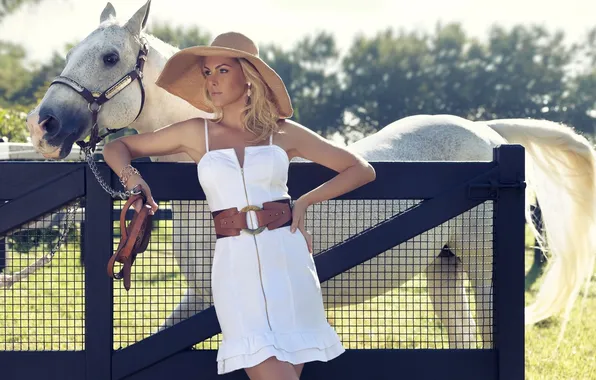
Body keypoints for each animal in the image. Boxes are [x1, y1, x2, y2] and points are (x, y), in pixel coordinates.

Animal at [26, 0, 596, 348]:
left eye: (109, 56)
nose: (42, 125)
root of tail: (488, 135)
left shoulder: (212, 300)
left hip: (482, 267)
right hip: (443, 268)